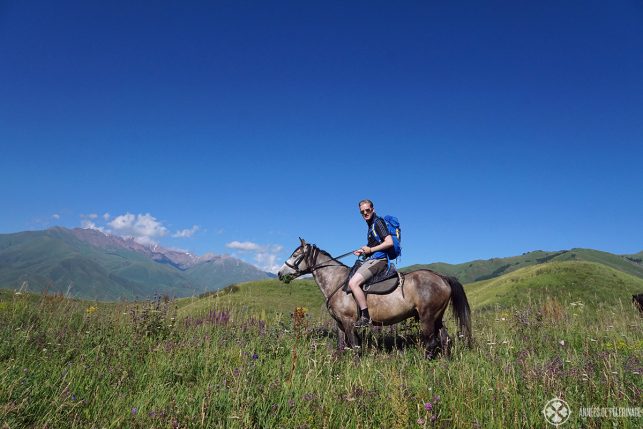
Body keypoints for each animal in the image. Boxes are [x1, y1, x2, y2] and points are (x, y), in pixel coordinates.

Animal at [278, 239, 472, 356]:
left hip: (427, 317)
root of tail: (442, 278)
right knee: (445, 339)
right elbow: (341, 346)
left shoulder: (349, 322)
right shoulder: (340, 323)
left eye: (295, 255)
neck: (337, 281)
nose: (280, 273)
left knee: (432, 342)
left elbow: (354, 347)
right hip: (437, 317)